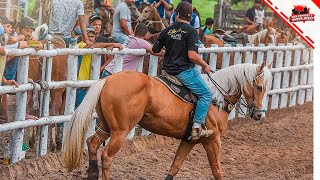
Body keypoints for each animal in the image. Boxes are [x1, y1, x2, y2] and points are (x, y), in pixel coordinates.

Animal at [63, 62, 272, 180]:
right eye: (260, 87)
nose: (259, 115)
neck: (216, 98)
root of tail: (107, 80)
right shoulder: (212, 140)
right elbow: (217, 171)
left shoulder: (189, 140)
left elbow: (175, 166)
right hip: (120, 131)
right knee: (106, 156)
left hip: (106, 126)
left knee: (92, 143)